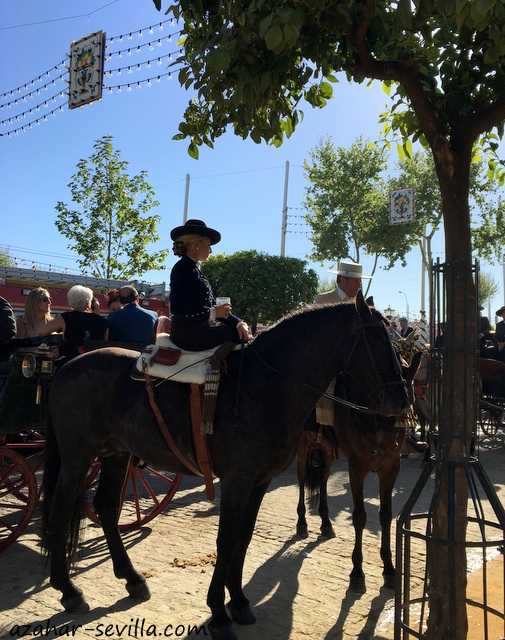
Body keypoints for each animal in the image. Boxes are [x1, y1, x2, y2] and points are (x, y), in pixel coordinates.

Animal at [41, 294, 408, 640]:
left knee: (105, 507)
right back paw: (68, 590)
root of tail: (68, 365)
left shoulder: (259, 481)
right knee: (59, 511)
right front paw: (218, 612)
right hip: (78, 458)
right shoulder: (237, 480)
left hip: (116, 455)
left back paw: (131, 578)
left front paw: (239, 600)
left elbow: (243, 537)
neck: (267, 385)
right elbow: (226, 540)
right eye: (379, 341)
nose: (402, 402)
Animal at [296, 352, 422, 592]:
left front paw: (389, 569)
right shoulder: (356, 469)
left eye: (409, 402)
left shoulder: (390, 468)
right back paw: (302, 523)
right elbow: (360, 517)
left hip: (326, 449)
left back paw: (326, 523)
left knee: (324, 479)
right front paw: (357, 572)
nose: (392, 442)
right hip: (303, 446)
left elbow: (386, 515)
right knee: (301, 478)